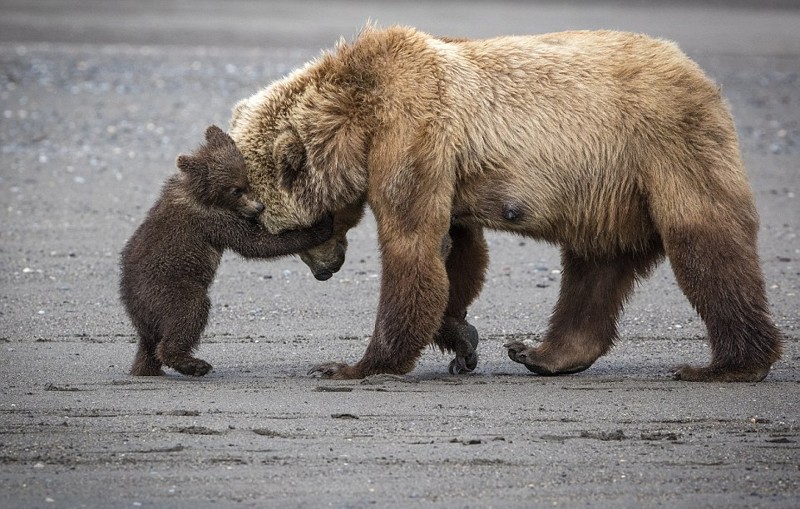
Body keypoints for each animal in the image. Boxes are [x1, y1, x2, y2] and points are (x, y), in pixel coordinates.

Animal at [228, 25, 784, 380]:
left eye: (284, 228)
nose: (325, 271)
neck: (357, 117)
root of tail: (696, 71)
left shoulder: (413, 132)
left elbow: (412, 246)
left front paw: (353, 365)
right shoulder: (444, 164)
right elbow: (456, 252)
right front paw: (461, 339)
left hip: (664, 146)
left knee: (706, 243)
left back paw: (730, 365)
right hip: (607, 192)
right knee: (595, 266)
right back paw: (543, 353)